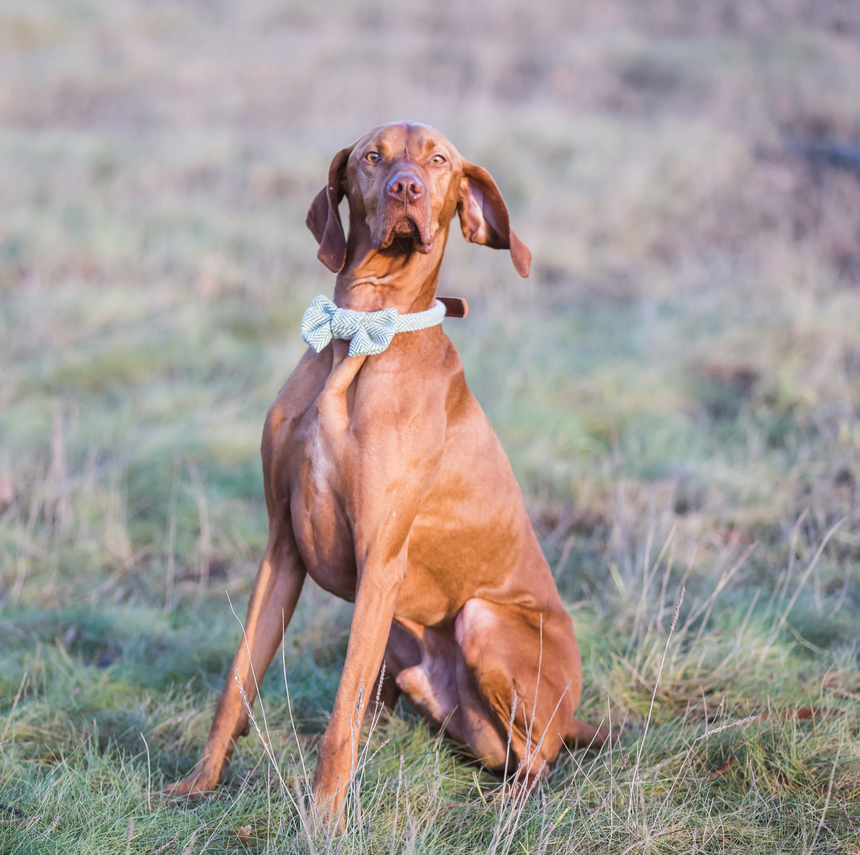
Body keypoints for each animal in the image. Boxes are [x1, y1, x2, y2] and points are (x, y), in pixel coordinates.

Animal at [168, 120, 608, 824]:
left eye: (440, 160)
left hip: (480, 620)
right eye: (373, 157)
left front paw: (323, 821)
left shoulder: (380, 557)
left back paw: (502, 806)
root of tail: (575, 716)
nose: (407, 188)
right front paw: (199, 782)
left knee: (539, 759)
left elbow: (339, 718)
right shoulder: (281, 548)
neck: (360, 333)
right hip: (405, 645)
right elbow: (237, 682)